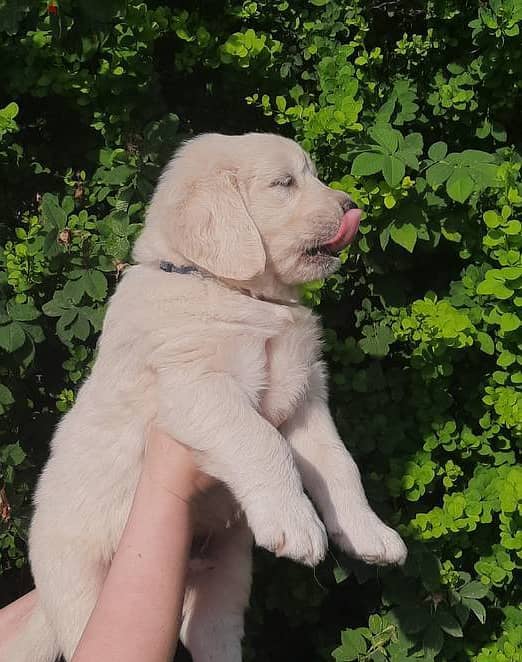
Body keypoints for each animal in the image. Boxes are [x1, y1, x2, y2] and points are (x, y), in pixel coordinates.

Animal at [7, 134, 406, 662]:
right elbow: (262, 442)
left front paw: (370, 534)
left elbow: (340, 465)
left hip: (225, 574)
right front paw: (298, 522)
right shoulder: (198, 385)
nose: (350, 208)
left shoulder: (305, 397)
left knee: (208, 634)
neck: (234, 290)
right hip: (79, 587)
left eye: (314, 176)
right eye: (284, 183)